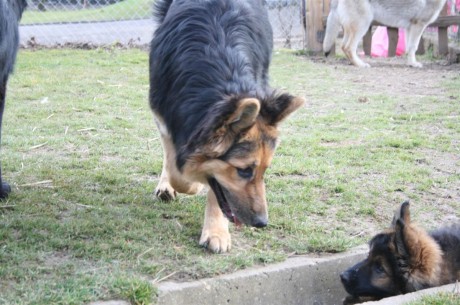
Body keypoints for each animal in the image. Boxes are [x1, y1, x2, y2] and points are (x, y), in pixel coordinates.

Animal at [149, 0, 304, 252]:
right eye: (244, 170)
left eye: (265, 170)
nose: (262, 223)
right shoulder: (165, 116)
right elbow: (177, 171)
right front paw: (191, 184)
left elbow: (215, 190)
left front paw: (216, 231)